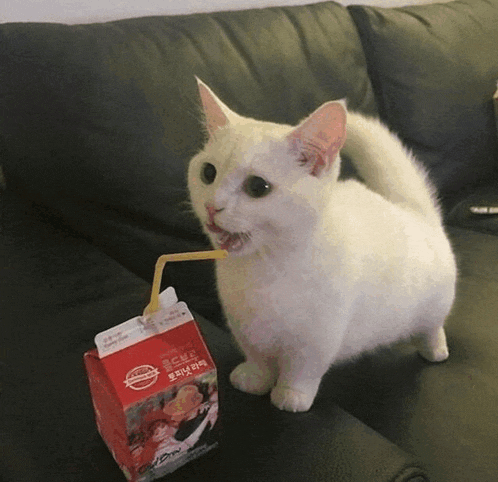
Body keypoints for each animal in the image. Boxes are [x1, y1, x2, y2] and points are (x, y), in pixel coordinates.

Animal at [187, 78, 456, 410]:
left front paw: (290, 396)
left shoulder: (318, 338)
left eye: (258, 187)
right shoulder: (244, 327)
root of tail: (411, 210)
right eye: (208, 173)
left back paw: (435, 350)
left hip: (433, 304)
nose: (213, 206)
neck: (266, 267)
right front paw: (254, 379)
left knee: (433, 326)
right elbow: (259, 359)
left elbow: (302, 371)